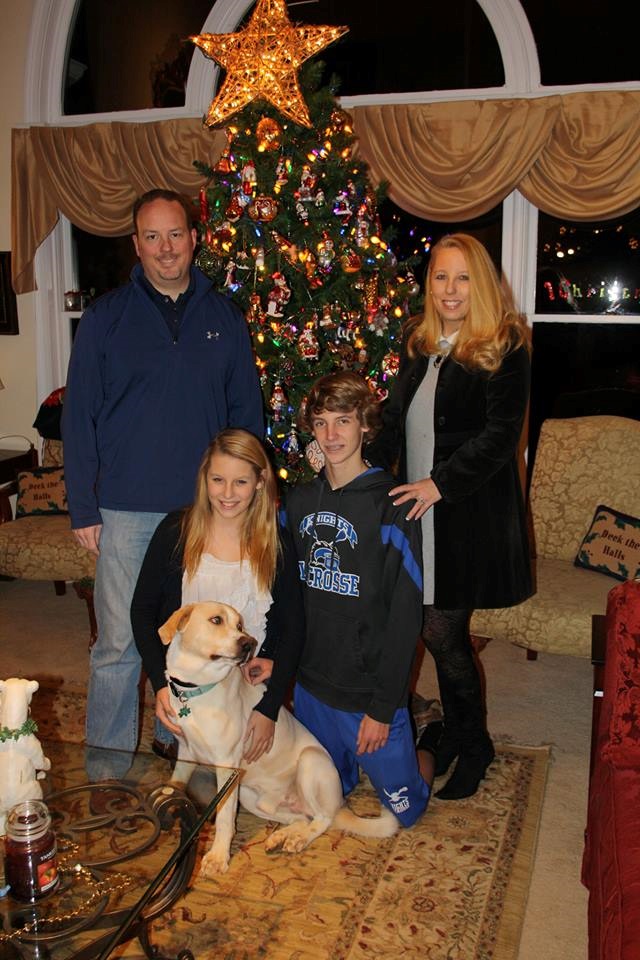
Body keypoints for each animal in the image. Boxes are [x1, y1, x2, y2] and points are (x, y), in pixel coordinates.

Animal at [158, 601, 398, 876]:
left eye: (239, 625)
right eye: (216, 620)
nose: (248, 644)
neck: (195, 690)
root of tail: (340, 803)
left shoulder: (227, 767)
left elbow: (224, 817)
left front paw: (218, 857)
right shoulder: (185, 752)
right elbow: (176, 783)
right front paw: (169, 802)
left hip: (310, 763)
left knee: (322, 819)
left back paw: (298, 839)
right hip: (252, 798)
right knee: (302, 818)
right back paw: (281, 837)